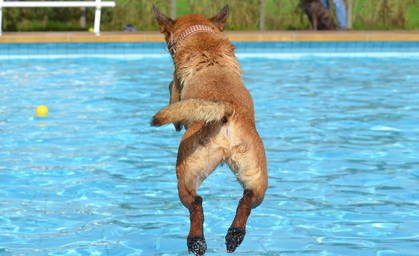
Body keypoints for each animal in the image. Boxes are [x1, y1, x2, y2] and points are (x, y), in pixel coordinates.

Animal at [151, 4, 270, 256]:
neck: (202, 36)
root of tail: (225, 110)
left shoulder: (174, 89)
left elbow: (171, 91)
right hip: (256, 177)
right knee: (246, 199)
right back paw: (234, 235)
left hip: (185, 173)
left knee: (196, 204)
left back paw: (196, 241)